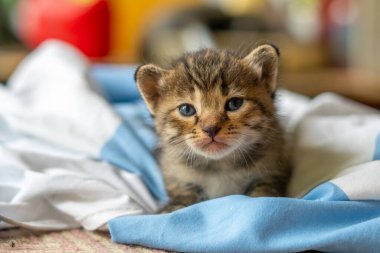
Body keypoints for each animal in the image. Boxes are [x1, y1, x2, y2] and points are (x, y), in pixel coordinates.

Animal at [135, 44, 290, 213]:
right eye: (186, 109)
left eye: (235, 103)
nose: (211, 129)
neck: (219, 167)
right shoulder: (178, 179)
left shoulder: (271, 170)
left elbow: (264, 195)